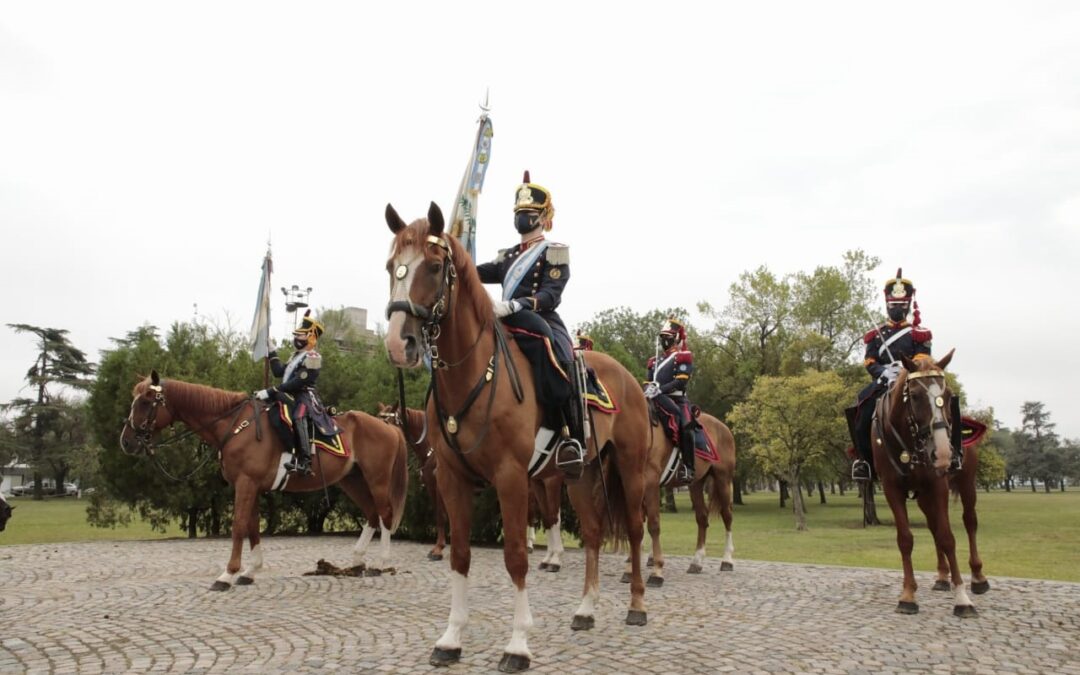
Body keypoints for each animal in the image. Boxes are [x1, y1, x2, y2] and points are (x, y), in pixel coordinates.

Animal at [121, 371, 408, 587]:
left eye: (146, 401)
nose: (126, 441)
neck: (234, 425)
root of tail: (389, 426)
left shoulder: (246, 484)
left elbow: (238, 526)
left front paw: (228, 574)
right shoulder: (251, 486)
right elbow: (252, 526)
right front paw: (249, 572)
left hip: (377, 479)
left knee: (384, 514)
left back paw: (381, 563)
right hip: (352, 480)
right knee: (371, 514)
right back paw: (358, 561)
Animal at [382, 203, 648, 669]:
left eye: (433, 267)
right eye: (389, 266)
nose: (400, 344)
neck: (476, 371)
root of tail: (627, 375)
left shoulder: (510, 478)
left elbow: (517, 556)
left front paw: (518, 644)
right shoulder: (453, 478)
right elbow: (460, 553)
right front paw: (451, 638)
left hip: (629, 471)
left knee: (633, 530)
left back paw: (636, 606)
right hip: (580, 476)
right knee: (594, 533)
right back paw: (585, 610)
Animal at [630, 408, 734, 587]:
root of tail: (723, 427)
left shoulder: (649, 482)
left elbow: (650, 523)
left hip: (723, 480)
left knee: (727, 516)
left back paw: (727, 560)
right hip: (696, 484)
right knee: (702, 518)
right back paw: (696, 562)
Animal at [872, 347, 976, 617]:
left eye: (948, 395)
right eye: (916, 396)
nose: (943, 454)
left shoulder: (938, 485)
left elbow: (948, 537)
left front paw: (962, 598)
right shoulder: (892, 488)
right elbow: (906, 539)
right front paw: (908, 595)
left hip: (966, 482)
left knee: (969, 522)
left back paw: (978, 578)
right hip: (922, 496)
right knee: (933, 526)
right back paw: (941, 577)